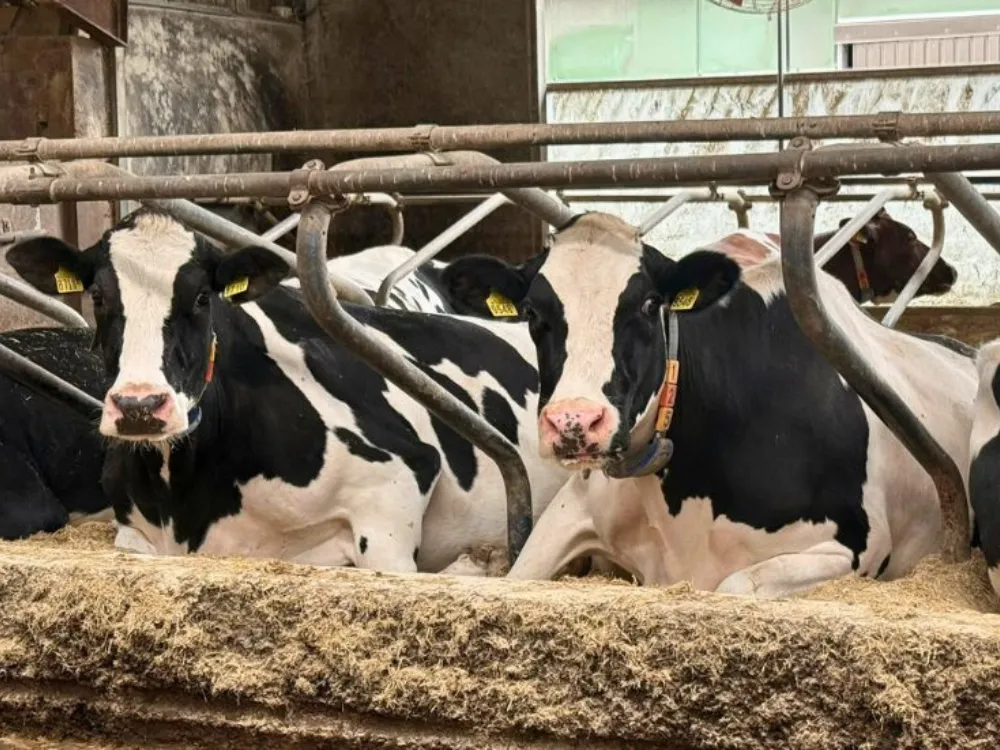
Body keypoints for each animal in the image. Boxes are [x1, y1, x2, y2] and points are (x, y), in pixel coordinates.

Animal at [438, 212, 980, 597]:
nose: (574, 422)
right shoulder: (572, 512)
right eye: (532, 312)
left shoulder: (856, 544)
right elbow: (518, 576)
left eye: (648, 304)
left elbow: (735, 585)